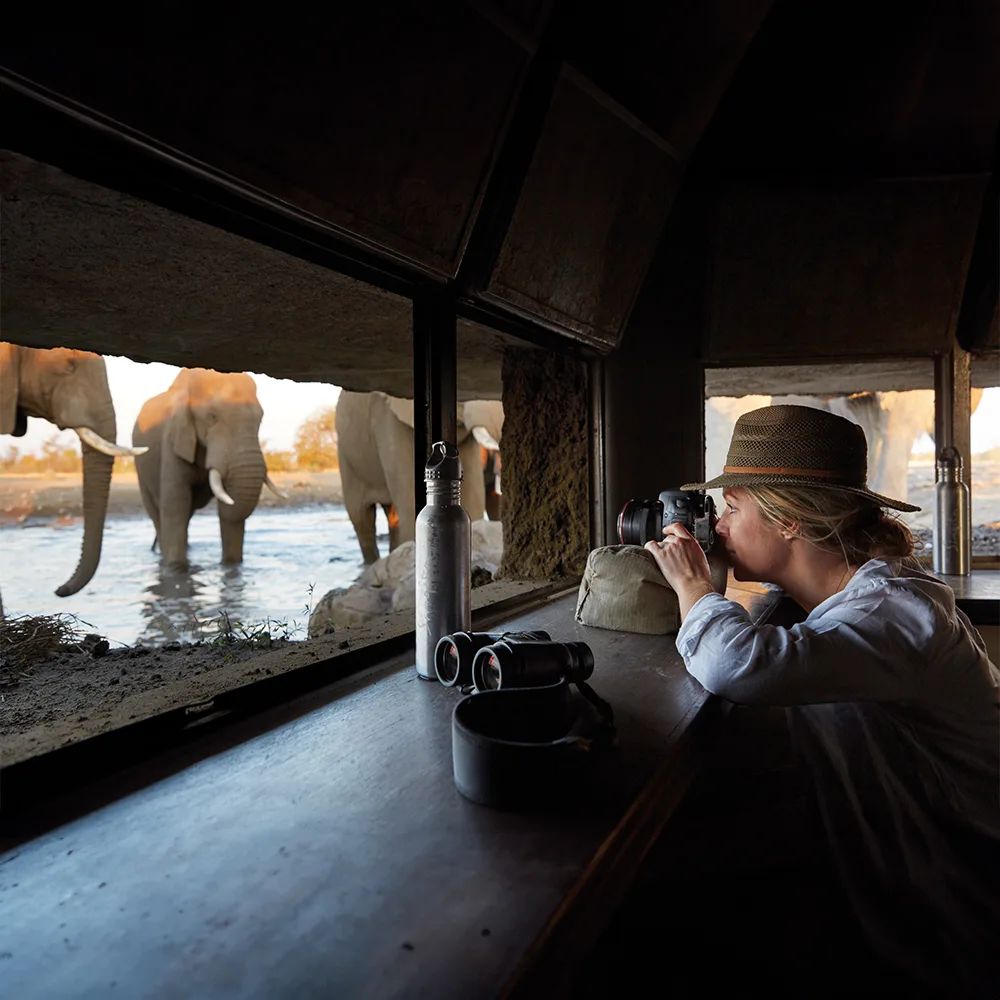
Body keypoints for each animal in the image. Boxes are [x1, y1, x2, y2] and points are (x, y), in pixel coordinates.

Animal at [131, 370, 284, 572]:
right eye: (212, 417)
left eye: (260, 418)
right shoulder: (174, 440)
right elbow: (175, 505)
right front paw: (176, 569)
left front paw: (231, 567)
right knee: (157, 514)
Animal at [336, 390, 504, 564]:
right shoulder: (389, 419)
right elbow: (410, 503)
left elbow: (473, 497)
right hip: (346, 457)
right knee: (362, 519)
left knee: (392, 517)